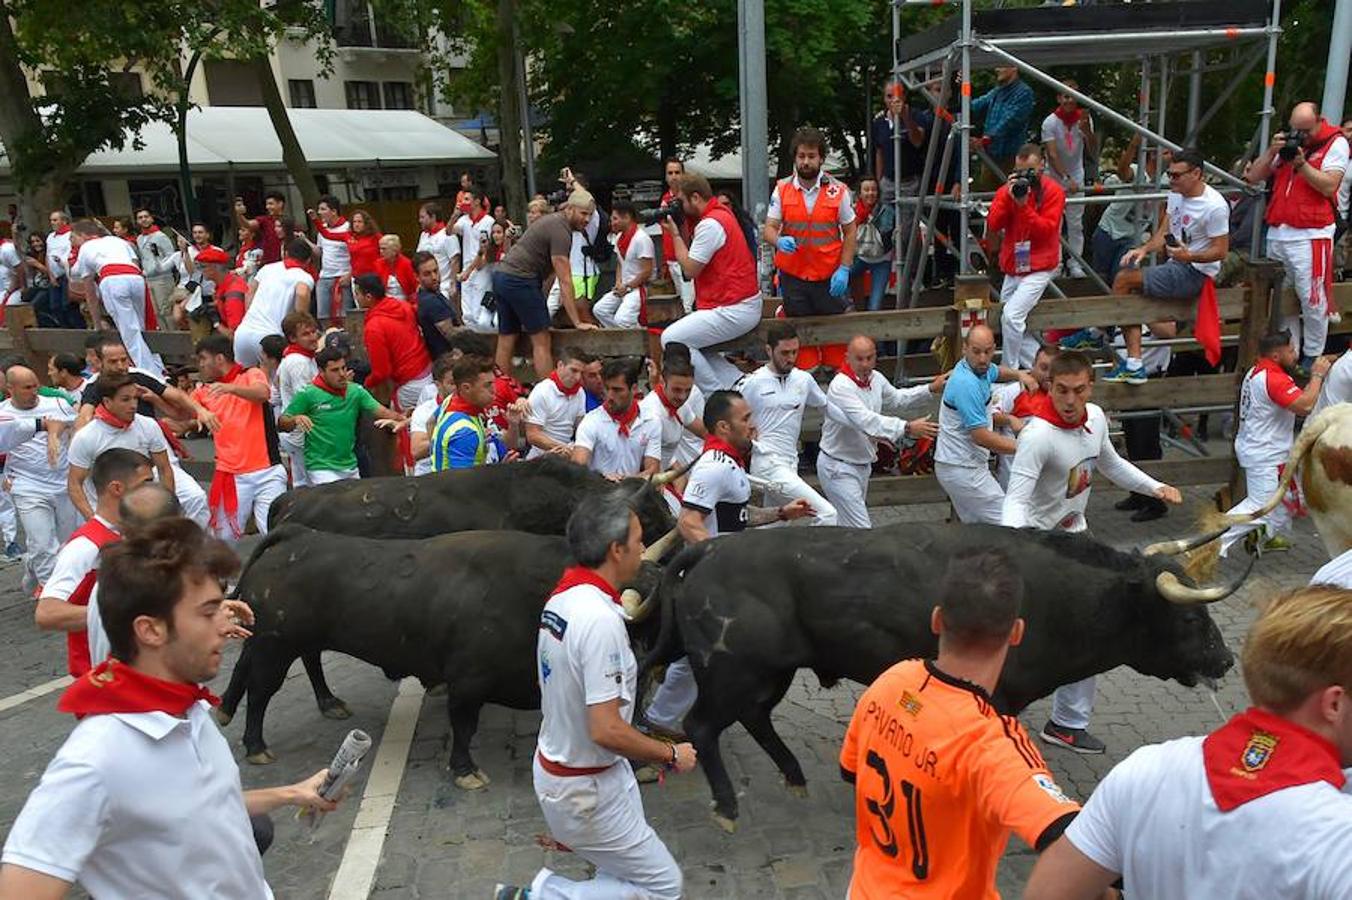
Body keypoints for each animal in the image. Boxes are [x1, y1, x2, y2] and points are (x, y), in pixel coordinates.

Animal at [220, 527, 659, 783]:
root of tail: (293, 538)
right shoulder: (467, 682)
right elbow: (464, 726)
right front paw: (465, 770)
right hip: (275, 649)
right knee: (260, 692)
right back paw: (256, 746)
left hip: (279, 643)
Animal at [648, 521, 1238, 821]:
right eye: (1189, 615)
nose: (1226, 659)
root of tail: (709, 549)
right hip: (732, 669)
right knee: (703, 726)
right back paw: (728, 806)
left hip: (772, 672)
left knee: (754, 719)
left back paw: (795, 778)